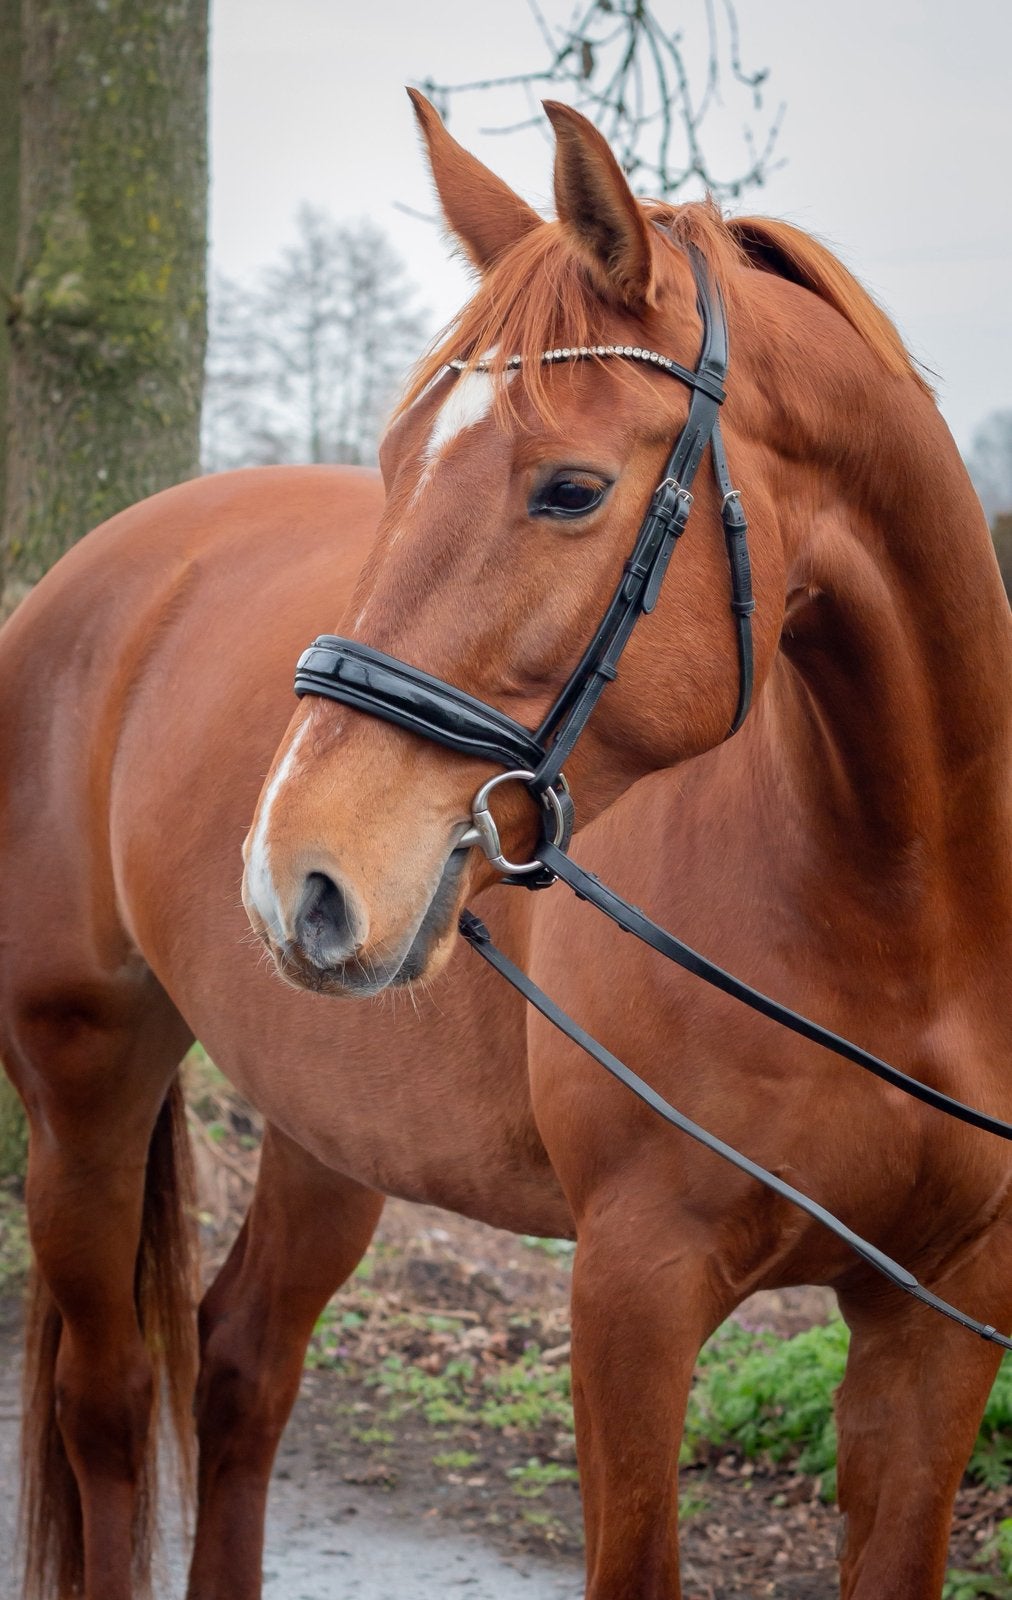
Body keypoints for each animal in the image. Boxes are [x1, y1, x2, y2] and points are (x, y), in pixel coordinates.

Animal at [1, 91, 1009, 1600]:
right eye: (392, 466)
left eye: (572, 490)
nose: (296, 872)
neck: (905, 918)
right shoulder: (635, 1288)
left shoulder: (938, 1317)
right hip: (84, 1079)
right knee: (109, 1406)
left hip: (328, 1122)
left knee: (243, 1366)